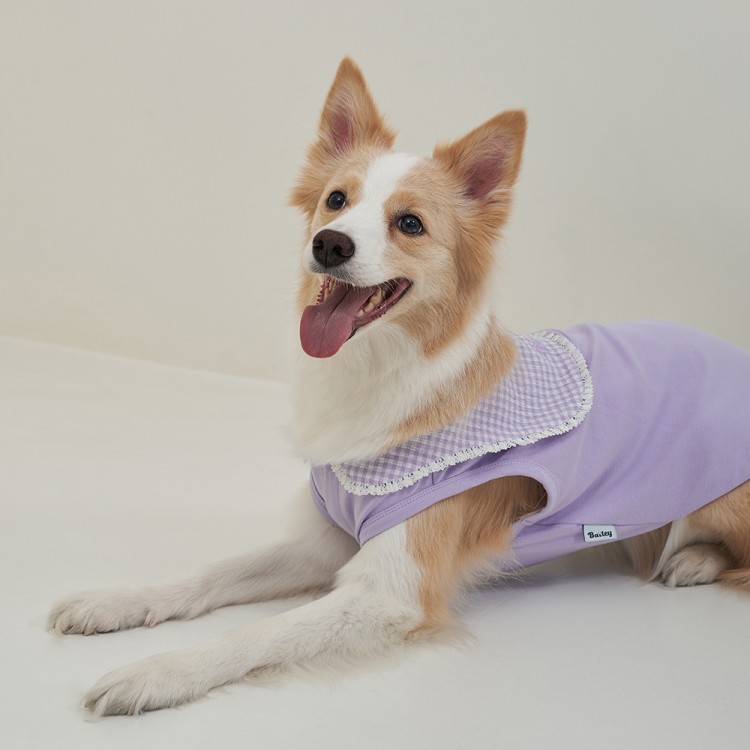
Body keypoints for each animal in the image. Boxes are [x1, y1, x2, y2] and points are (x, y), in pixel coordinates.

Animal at [48, 57, 750, 716]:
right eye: (335, 200)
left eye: (409, 224)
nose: (329, 245)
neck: (376, 373)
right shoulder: (325, 542)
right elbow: (212, 573)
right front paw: (116, 600)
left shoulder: (388, 593)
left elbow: (254, 634)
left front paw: (156, 672)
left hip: (717, 500)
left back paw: (693, 561)